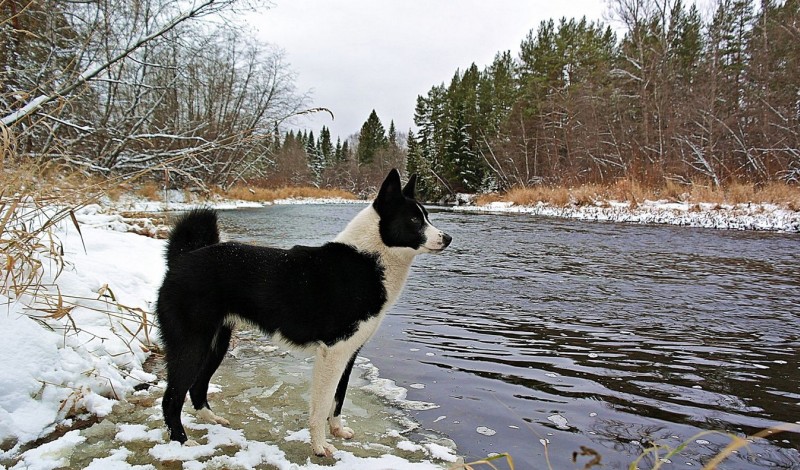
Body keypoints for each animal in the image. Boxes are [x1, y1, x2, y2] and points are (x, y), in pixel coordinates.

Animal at [155, 169, 450, 456]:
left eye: (427, 216)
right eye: (414, 219)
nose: (447, 238)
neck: (369, 259)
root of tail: (182, 259)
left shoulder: (349, 353)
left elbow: (338, 398)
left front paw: (338, 431)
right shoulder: (332, 353)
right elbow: (321, 405)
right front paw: (320, 446)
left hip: (216, 343)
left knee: (197, 387)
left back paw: (211, 419)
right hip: (192, 345)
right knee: (171, 398)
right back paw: (182, 442)